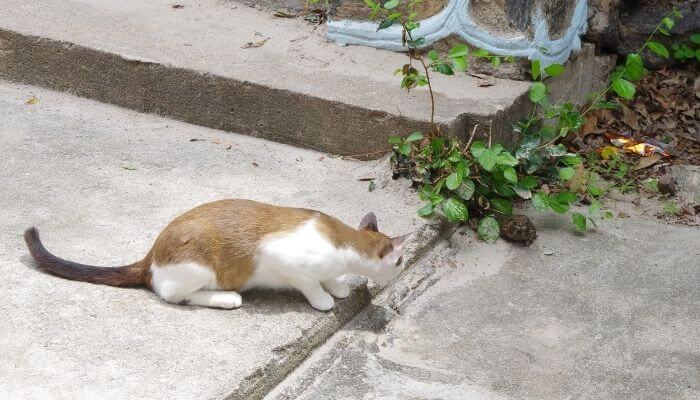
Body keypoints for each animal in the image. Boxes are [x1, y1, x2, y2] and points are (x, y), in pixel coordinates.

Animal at [24, 199, 408, 310]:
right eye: (401, 261)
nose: (402, 271)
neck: (343, 242)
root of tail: (151, 255)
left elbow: (330, 278)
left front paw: (338, 286)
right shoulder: (285, 261)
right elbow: (311, 285)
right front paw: (324, 299)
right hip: (201, 266)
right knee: (172, 294)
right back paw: (227, 298)